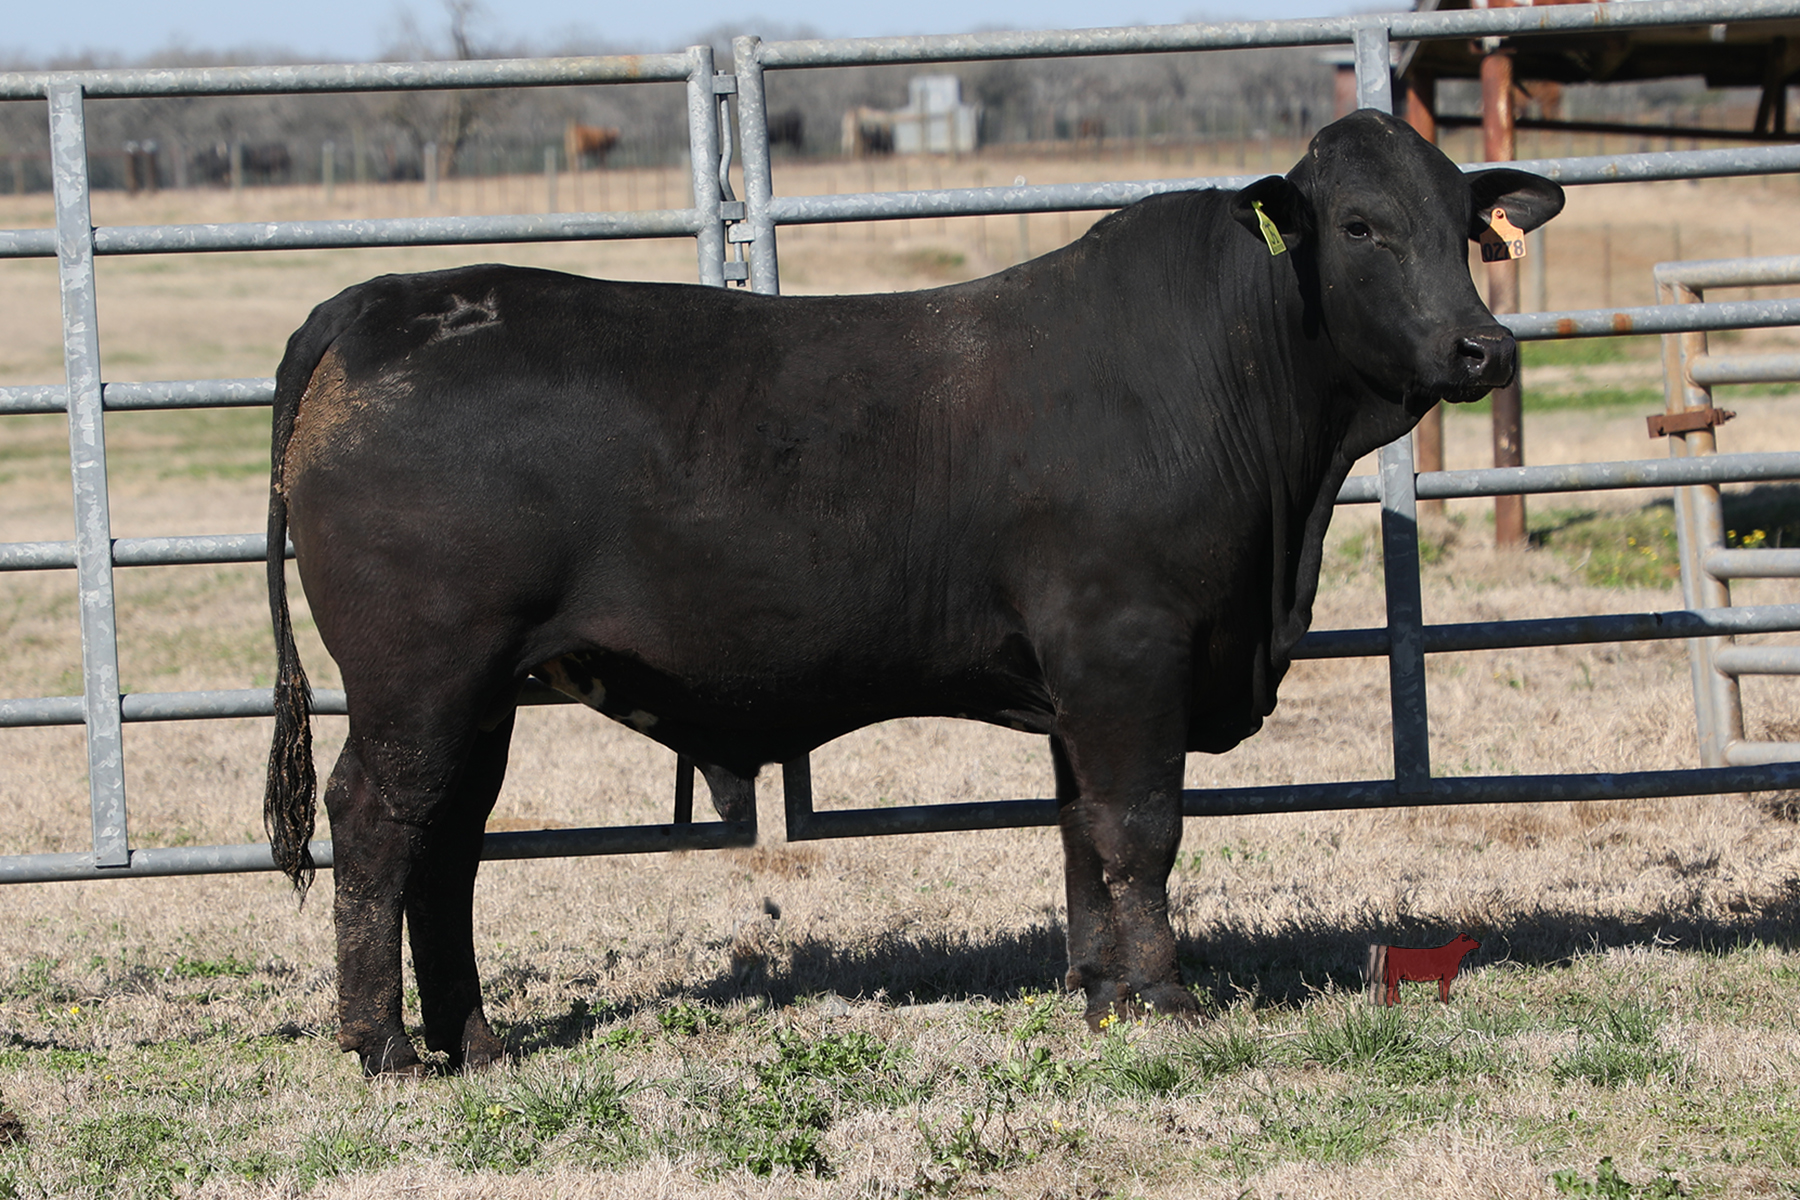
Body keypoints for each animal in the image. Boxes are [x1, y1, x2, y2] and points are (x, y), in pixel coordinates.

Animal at [266, 107, 1562, 1072]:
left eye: (1466, 226)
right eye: (1361, 224)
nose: (1483, 348)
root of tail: (374, 302)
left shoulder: (1080, 678)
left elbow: (1082, 830)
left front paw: (1100, 993)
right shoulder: (1127, 647)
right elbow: (1141, 827)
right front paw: (1163, 1002)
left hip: (482, 691)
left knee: (448, 847)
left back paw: (475, 1040)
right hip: (421, 674)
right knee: (377, 824)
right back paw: (383, 1047)